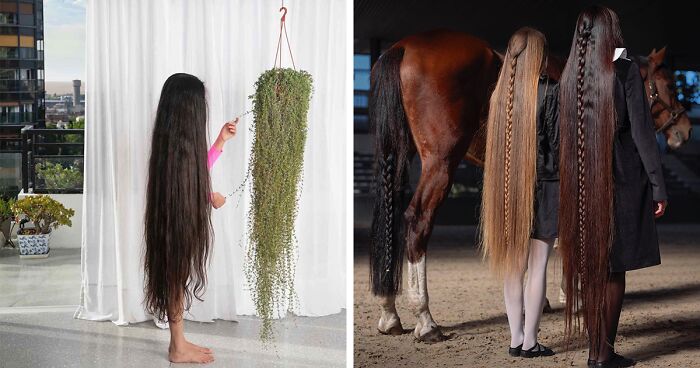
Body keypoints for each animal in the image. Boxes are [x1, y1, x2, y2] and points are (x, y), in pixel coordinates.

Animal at [370, 30, 692, 344]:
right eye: (668, 83)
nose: (686, 129)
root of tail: (404, 47)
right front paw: (573, 296)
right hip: (441, 162)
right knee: (417, 221)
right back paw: (425, 320)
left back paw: (389, 313)